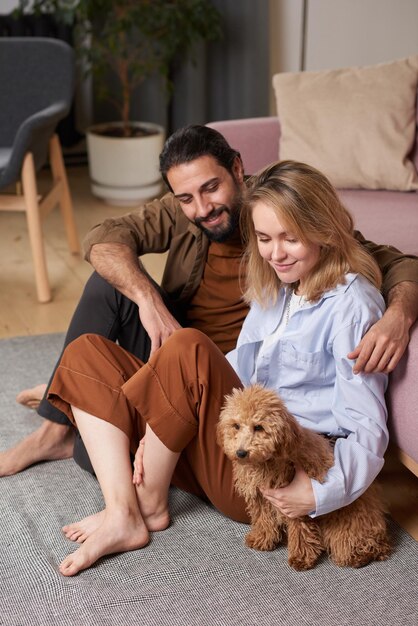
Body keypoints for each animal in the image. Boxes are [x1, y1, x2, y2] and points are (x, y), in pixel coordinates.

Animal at [217, 382, 390, 568]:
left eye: (258, 427)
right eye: (236, 425)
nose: (241, 452)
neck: (266, 461)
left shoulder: (294, 501)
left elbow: (300, 529)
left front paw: (301, 557)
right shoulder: (260, 497)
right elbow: (263, 519)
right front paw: (262, 538)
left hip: (344, 525)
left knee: (351, 546)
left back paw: (360, 555)